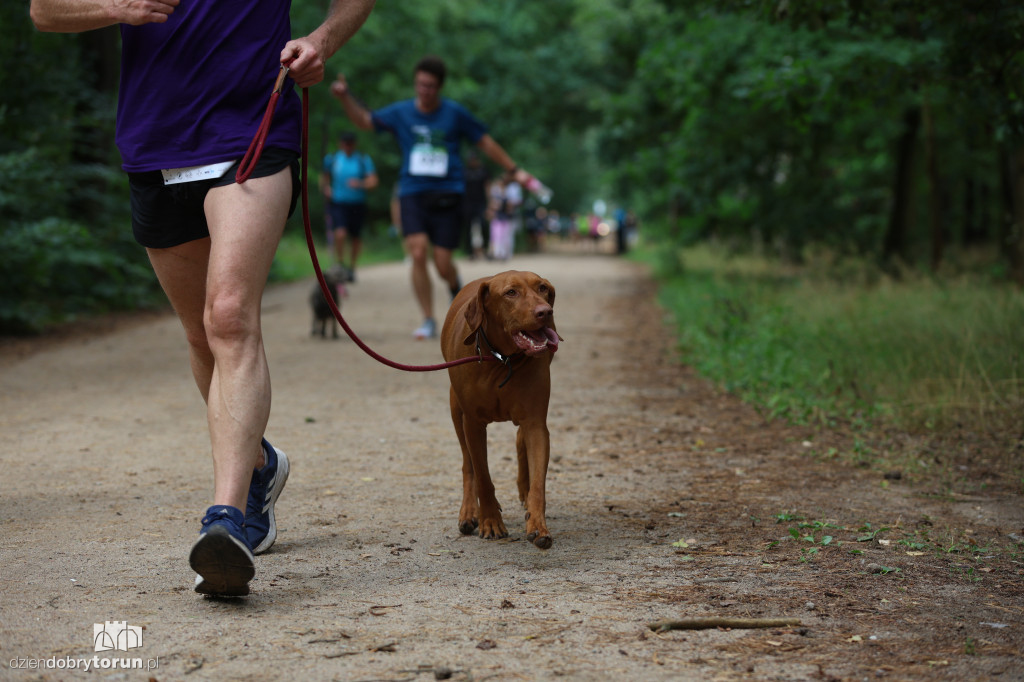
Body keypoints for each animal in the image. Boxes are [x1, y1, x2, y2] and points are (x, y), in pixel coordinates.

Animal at [438, 270, 561, 548]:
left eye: (542, 288)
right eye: (510, 293)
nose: (545, 311)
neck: (501, 360)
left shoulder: (535, 422)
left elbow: (539, 483)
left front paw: (538, 525)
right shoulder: (473, 424)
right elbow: (483, 477)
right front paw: (491, 521)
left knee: (519, 440)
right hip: (455, 408)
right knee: (468, 465)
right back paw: (469, 512)